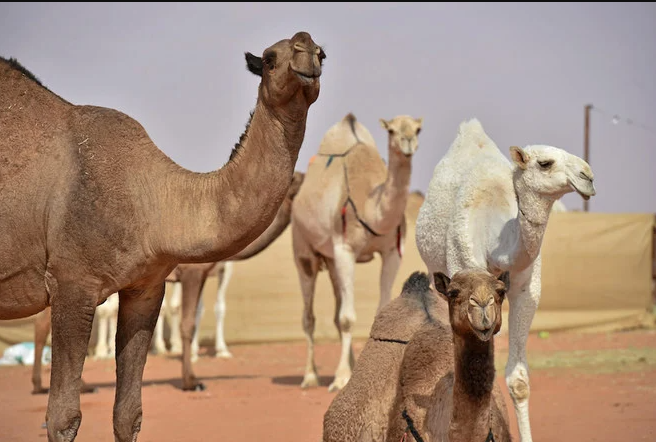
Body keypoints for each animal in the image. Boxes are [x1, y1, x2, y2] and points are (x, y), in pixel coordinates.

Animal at [291, 113, 423, 392]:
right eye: (391, 130)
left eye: (418, 129)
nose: (407, 142)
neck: (370, 207)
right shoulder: (345, 249)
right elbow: (347, 318)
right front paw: (341, 379)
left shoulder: (393, 251)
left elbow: (378, 310)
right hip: (303, 249)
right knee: (309, 316)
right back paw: (310, 376)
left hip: (331, 262)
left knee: (336, 308)